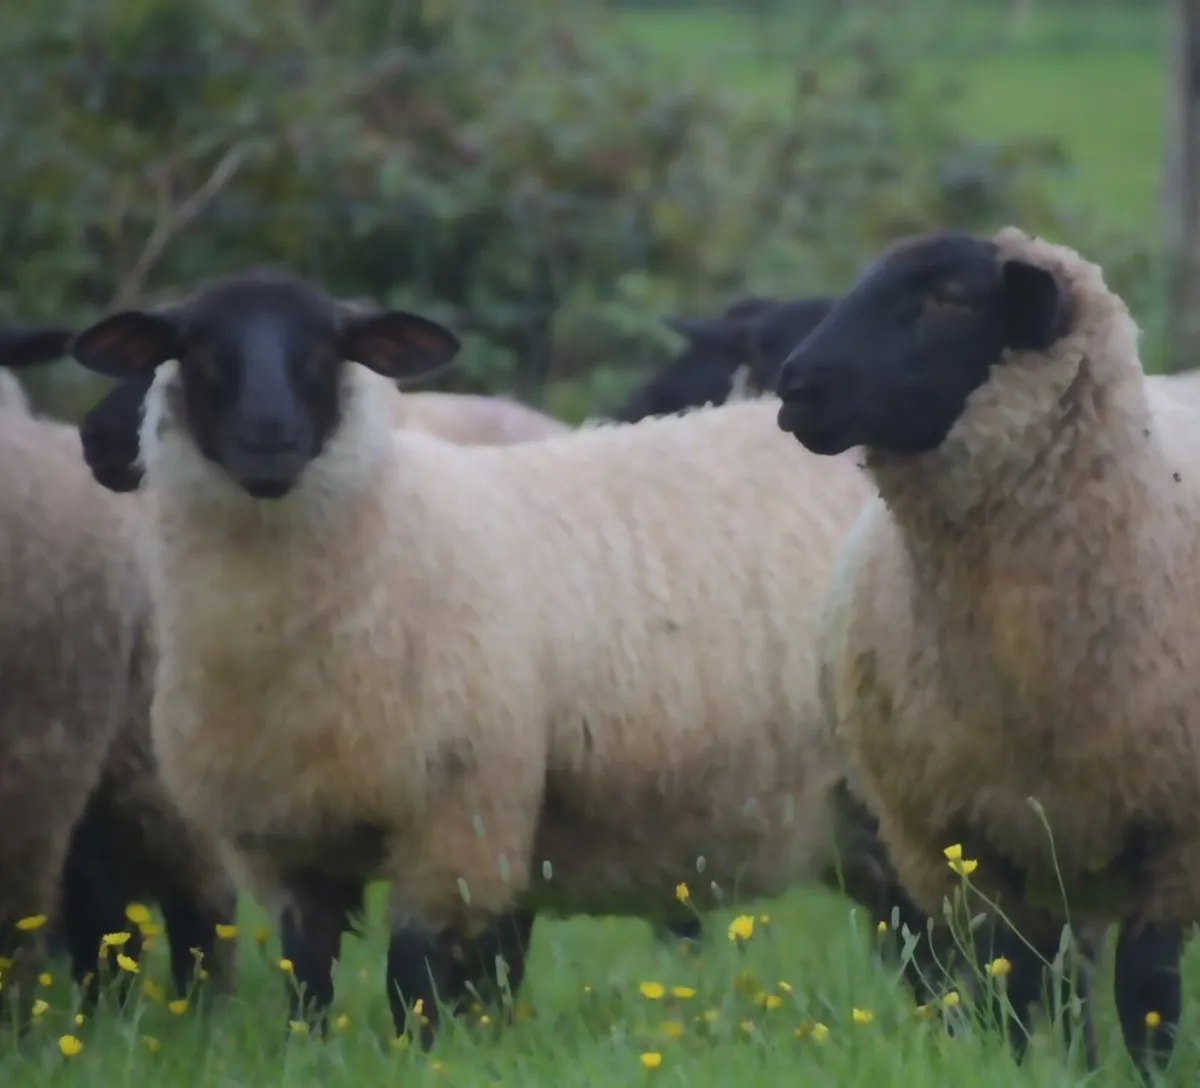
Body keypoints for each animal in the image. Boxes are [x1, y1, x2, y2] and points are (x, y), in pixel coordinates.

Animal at [774, 226, 1200, 1080]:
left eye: (952, 299)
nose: (794, 386)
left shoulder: (1175, 836)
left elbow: (1150, 998)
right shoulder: (960, 839)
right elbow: (1014, 987)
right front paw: (1026, 1071)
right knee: (1065, 976)